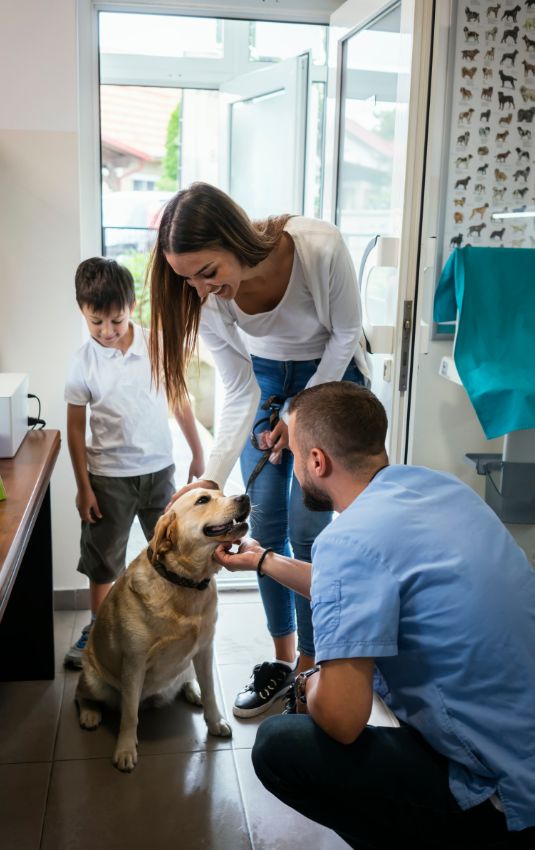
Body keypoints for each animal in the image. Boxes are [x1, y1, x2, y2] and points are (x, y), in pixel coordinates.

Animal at [75, 484, 251, 768]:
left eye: (223, 494)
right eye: (203, 500)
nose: (244, 497)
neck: (184, 582)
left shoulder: (204, 651)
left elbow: (211, 692)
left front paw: (214, 721)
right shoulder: (134, 663)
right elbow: (129, 715)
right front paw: (125, 749)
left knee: (189, 681)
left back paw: (193, 691)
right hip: (94, 682)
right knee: (81, 695)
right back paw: (90, 714)